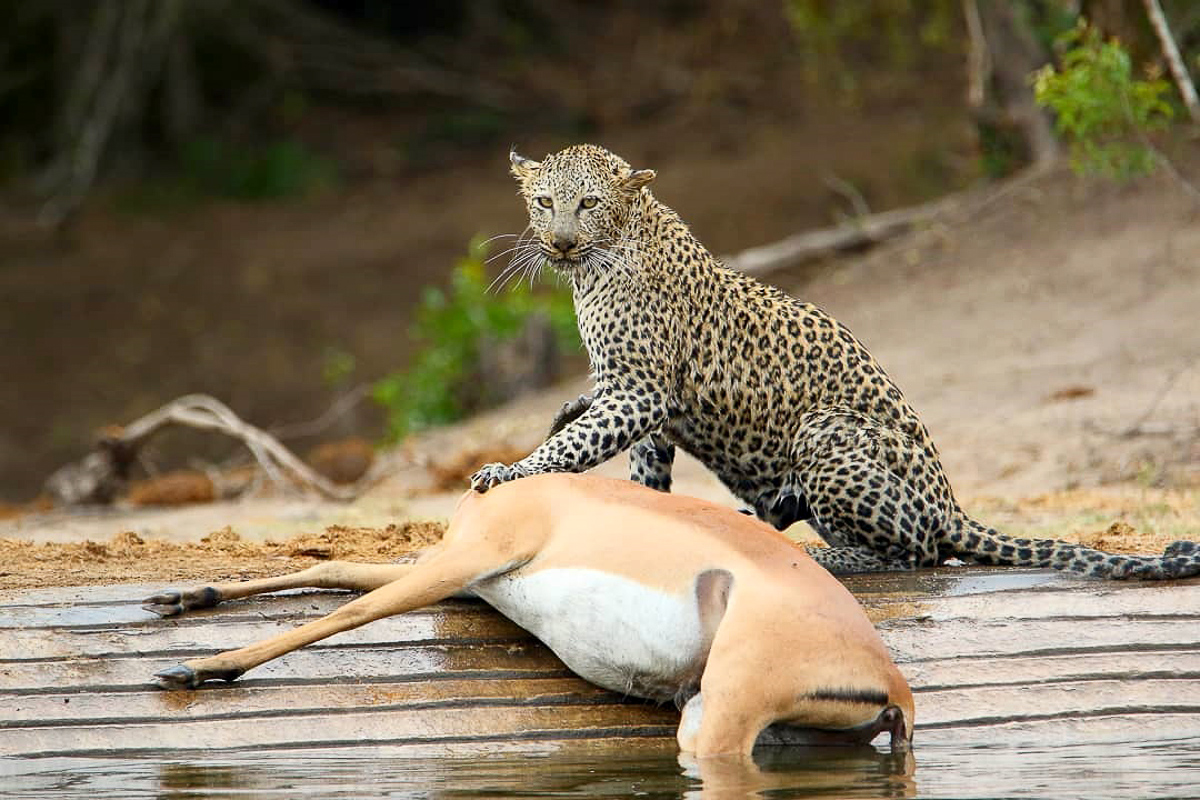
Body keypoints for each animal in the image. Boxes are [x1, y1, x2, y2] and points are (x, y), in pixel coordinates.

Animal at [145, 473, 914, 758]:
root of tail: (894, 689)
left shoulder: (467, 562)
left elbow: (350, 609)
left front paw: (200, 668)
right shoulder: (467, 578)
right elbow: (333, 570)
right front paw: (181, 600)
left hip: (720, 722)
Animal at [470, 143, 1199, 580]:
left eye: (588, 202)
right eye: (544, 202)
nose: (561, 242)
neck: (596, 267)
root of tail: (954, 502)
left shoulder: (641, 391)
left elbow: (573, 446)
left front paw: (511, 471)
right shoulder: (642, 405)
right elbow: (640, 472)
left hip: (825, 434)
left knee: (920, 550)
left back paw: (818, 551)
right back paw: (773, 519)